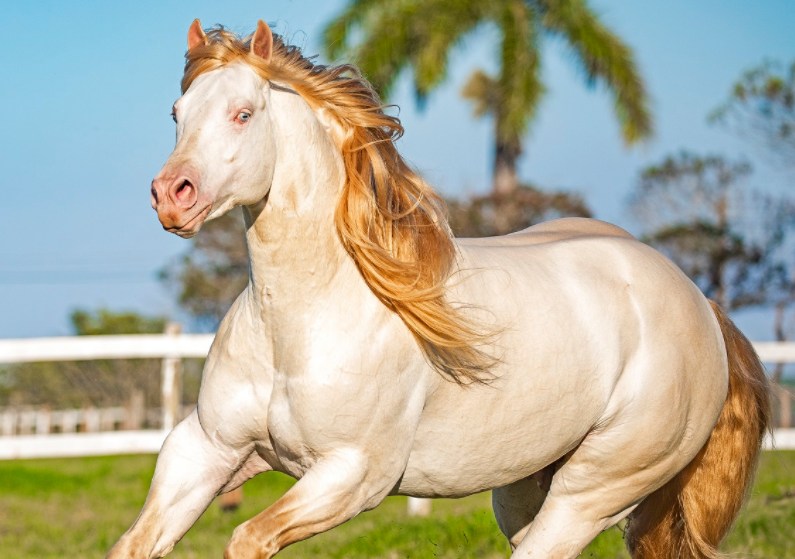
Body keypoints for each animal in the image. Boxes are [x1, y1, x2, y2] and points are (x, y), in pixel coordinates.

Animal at [109, 19, 768, 559]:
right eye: (177, 113)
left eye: (243, 113)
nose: (173, 195)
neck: (299, 323)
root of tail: (699, 305)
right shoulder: (206, 450)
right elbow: (133, 544)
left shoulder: (352, 475)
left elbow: (246, 539)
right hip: (523, 489)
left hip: (592, 493)